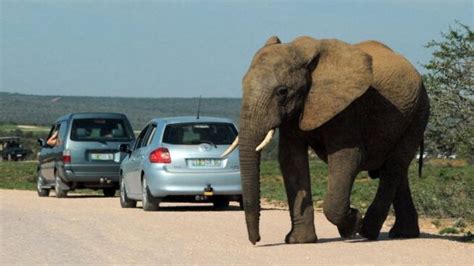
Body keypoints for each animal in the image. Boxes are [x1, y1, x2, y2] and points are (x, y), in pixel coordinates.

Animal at [222, 35, 430, 245]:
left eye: (282, 91)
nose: (256, 240)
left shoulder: (346, 107)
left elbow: (348, 156)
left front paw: (351, 225)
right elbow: (291, 159)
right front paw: (299, 241)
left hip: (418, 114)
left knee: (394, 166)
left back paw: (367, 232)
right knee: (397, 170)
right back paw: (403, 233)